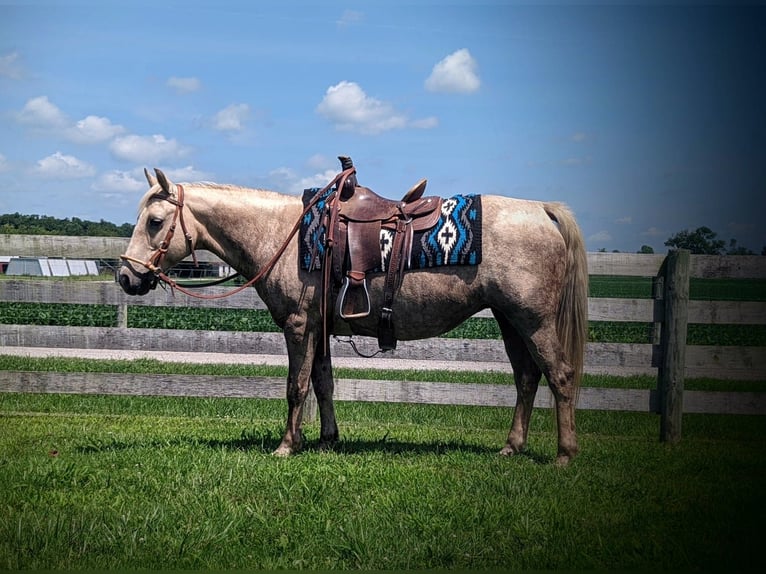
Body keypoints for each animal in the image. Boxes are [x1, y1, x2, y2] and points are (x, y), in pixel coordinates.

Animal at [118, 164, 588, 466]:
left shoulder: (299, 327)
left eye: (155, 221)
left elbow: (296, 387)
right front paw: (327, 440)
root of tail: (541, 209)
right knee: (526, 378)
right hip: (511, 320)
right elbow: (323, 385)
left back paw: (565, 455)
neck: (284, 235)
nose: (126, 276)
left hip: (534, 321)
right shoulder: (319, 328)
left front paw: (287, 446)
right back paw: (512, 447)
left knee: (560, 376)